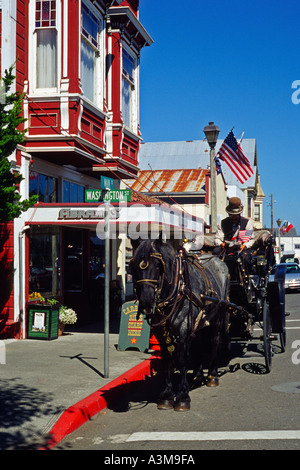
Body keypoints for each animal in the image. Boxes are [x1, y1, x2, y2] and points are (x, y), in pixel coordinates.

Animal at [128, 239, 230, 412]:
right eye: (134, 266)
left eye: (158, 265)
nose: (146, 301)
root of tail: (219, 260)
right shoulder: (161, 333)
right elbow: (167, 362)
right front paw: (167, 395)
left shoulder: (183, 331)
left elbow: (182, 361)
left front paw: (182, 396)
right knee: (200, 344)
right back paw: (197, 376)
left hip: (217, 318)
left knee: (215, 342)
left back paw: (212, 375)